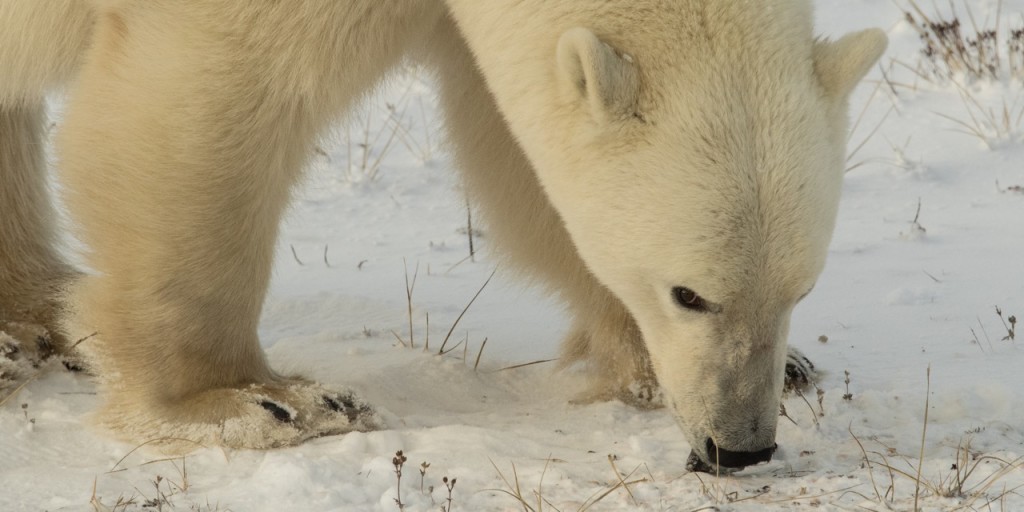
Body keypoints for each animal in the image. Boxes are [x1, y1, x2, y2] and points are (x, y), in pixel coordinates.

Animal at [0, 0, 885, 472]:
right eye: (689, 293)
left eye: (801, 288)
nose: (738, 447)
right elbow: (206, 99)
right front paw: (262, 401)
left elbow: (515, 152)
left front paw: (771, 367)